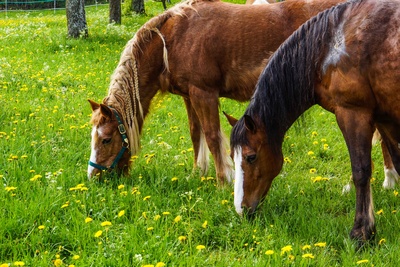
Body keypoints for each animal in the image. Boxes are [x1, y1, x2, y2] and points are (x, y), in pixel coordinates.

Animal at [86, 0, 346, 182]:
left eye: (106, 139)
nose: (94, 178)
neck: (172, 39)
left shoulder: (204, 94)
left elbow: (212, 137)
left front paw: (224, 180)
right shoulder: (189, 97)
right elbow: (196, 133)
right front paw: (197, 173)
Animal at [228, 0, 400, 244]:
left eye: (251, 157)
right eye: (232, 156)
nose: (241, 209)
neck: (329, 46)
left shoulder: (353, 113)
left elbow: (361, 171)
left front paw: (361, 233)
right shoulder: (384, 118)